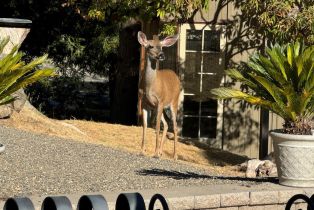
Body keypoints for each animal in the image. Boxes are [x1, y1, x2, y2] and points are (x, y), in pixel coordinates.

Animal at [138, 30, 182, 159]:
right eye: (150, 46)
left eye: (162, 47)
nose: (162, 55)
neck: (150, 86)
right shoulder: (145, 103)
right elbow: (145, 126)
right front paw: (142, 151)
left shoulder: (160, 100)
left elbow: (157, 127)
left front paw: (155, 153)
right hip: (160, 107)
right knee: (167, 124)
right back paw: (162, 151)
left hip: (173, 102)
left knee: (175, 126)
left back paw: (174, 155)